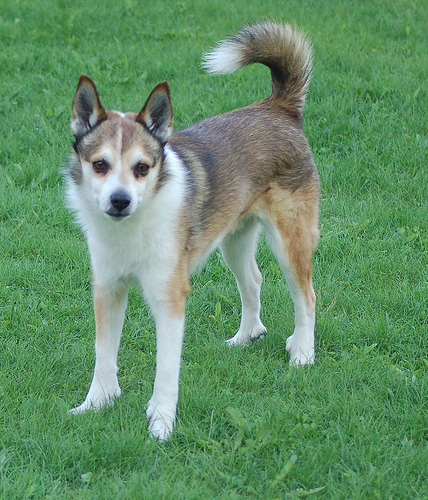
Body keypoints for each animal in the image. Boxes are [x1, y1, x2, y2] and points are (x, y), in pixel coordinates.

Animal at [65, 21, 320, 440]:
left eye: (142, 168)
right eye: (100, 164)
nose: (119, 201)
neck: (134, 225)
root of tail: (277, 108)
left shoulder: (169, 297)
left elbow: (167, 369)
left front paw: (162, 423)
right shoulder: (108, 287)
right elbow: (104, 354)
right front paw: (97, 403)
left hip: (290, 241)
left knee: (307, 297)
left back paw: (302, 352)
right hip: (234, 239)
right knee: (253, 280)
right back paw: (246, 336)